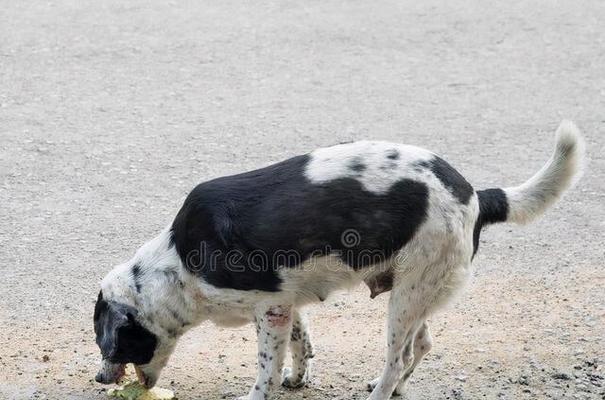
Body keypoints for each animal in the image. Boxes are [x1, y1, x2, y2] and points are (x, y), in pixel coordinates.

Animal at [92, 120, 584, 398]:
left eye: (107, 344)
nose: (99, 379)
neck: (177, 266)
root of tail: (476, 195)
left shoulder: (269, 308)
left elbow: (267, 369)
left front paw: (262, 392)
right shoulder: (284, 303)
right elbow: (301, 343)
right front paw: (298, 379)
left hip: (407, 297)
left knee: (398, 357)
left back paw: (381, 392)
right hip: (418, 292)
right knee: (422, 345)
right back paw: (396, 389)